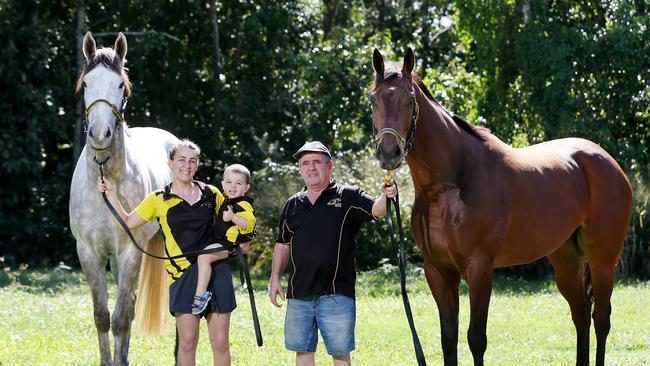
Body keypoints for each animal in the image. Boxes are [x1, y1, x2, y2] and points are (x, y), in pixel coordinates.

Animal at [370, 48, 628, 366]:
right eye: (373, 99)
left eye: (409, 100)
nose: (388, 153)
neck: (450, 185)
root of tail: (605, 159)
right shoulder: (438, 270)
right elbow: (448, 338)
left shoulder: (480, 267)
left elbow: (476, 339)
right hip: (566, 259)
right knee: (580, 315)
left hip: (602, 261)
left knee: (601, 319)